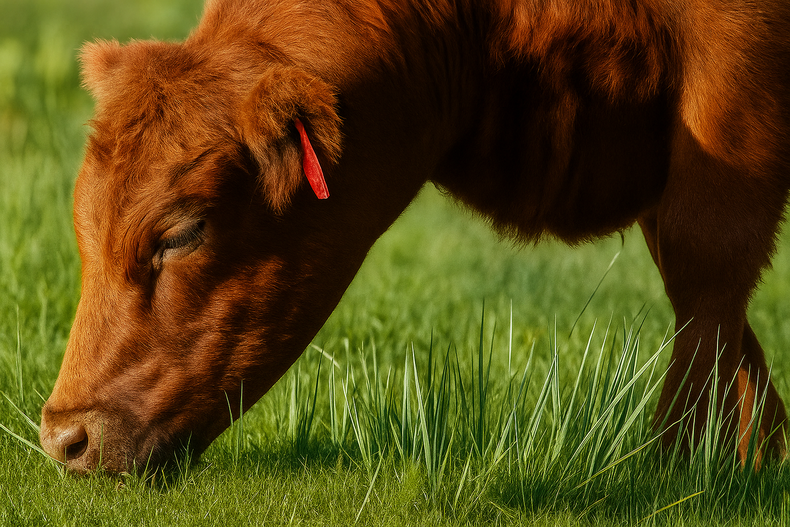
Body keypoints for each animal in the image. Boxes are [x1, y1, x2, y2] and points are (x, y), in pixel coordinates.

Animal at [40, 0, 790, 473]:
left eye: (182, 233)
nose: (62, 437)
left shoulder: (730, 77)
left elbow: (708, 268)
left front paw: (678, 468)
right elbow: (719, 310)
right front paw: (757, 461)